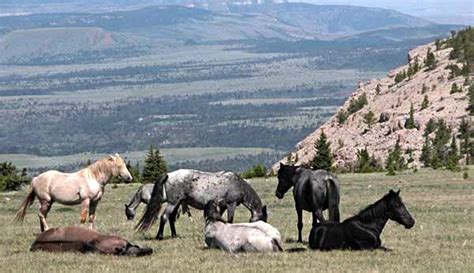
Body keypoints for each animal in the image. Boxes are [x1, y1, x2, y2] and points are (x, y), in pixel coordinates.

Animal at [136, 169, 266, 239]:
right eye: (263, 220)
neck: (238, 184)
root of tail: (169, 175)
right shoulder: (231, 204)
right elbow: (230, 220)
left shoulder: (222, 206)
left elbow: (219, 218)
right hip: (173, 203)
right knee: (164, 217)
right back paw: (160, 236)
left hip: (177, 203)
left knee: (171, 218)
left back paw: (174, 235)